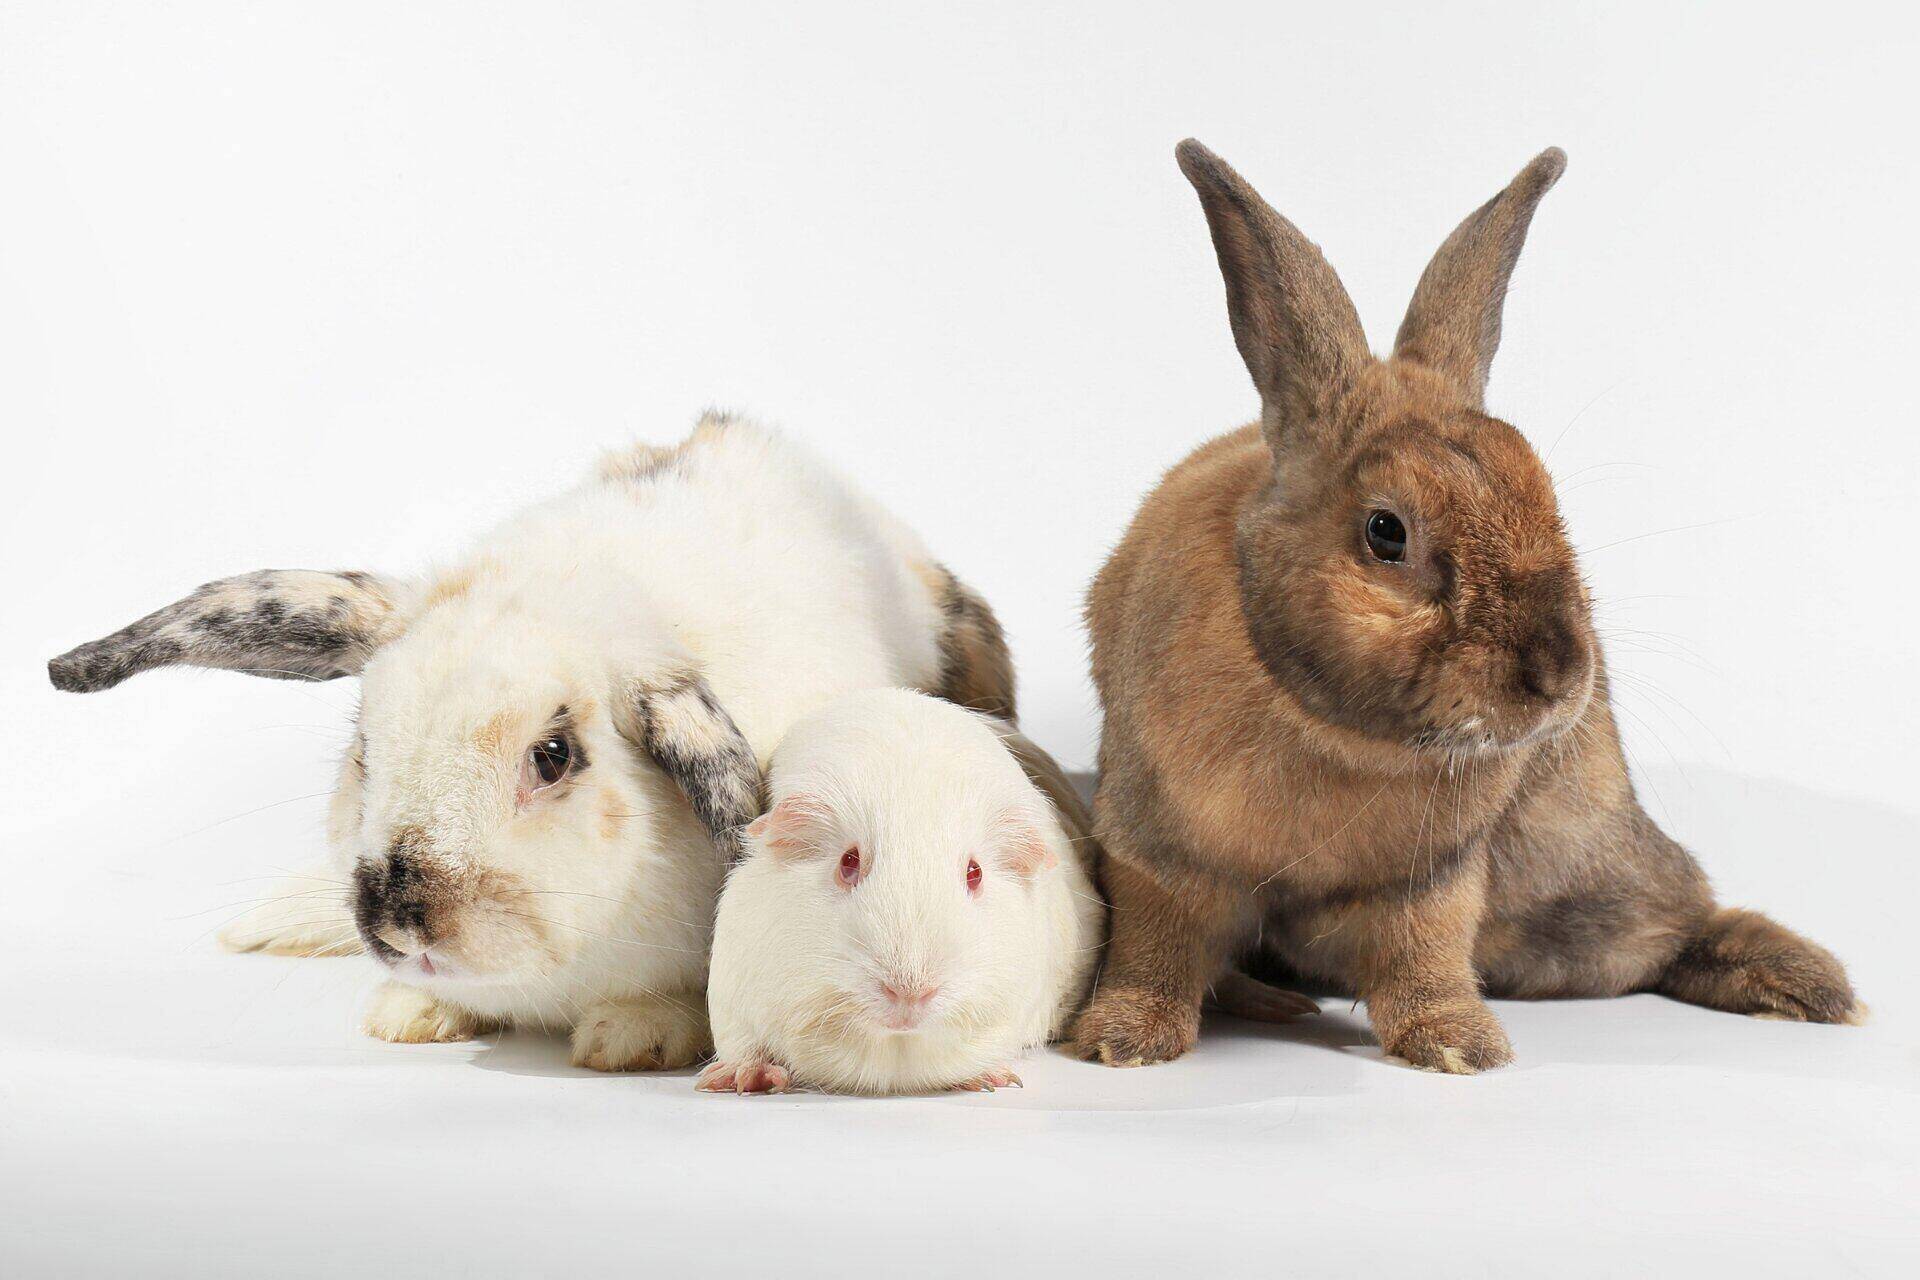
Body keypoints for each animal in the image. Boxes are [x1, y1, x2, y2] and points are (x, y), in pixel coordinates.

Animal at [1075, 140, 1850, 1074]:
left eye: (1547, 498)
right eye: (1386, 531)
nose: (1559, 674)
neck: (1332, 730)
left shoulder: (1433, 876)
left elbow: (1426, 956)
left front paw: (1461, 1046)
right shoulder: (1157, 855)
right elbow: (1156, 948)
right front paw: (1126, 1040)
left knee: (1675, 924)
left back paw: (1801, 984)